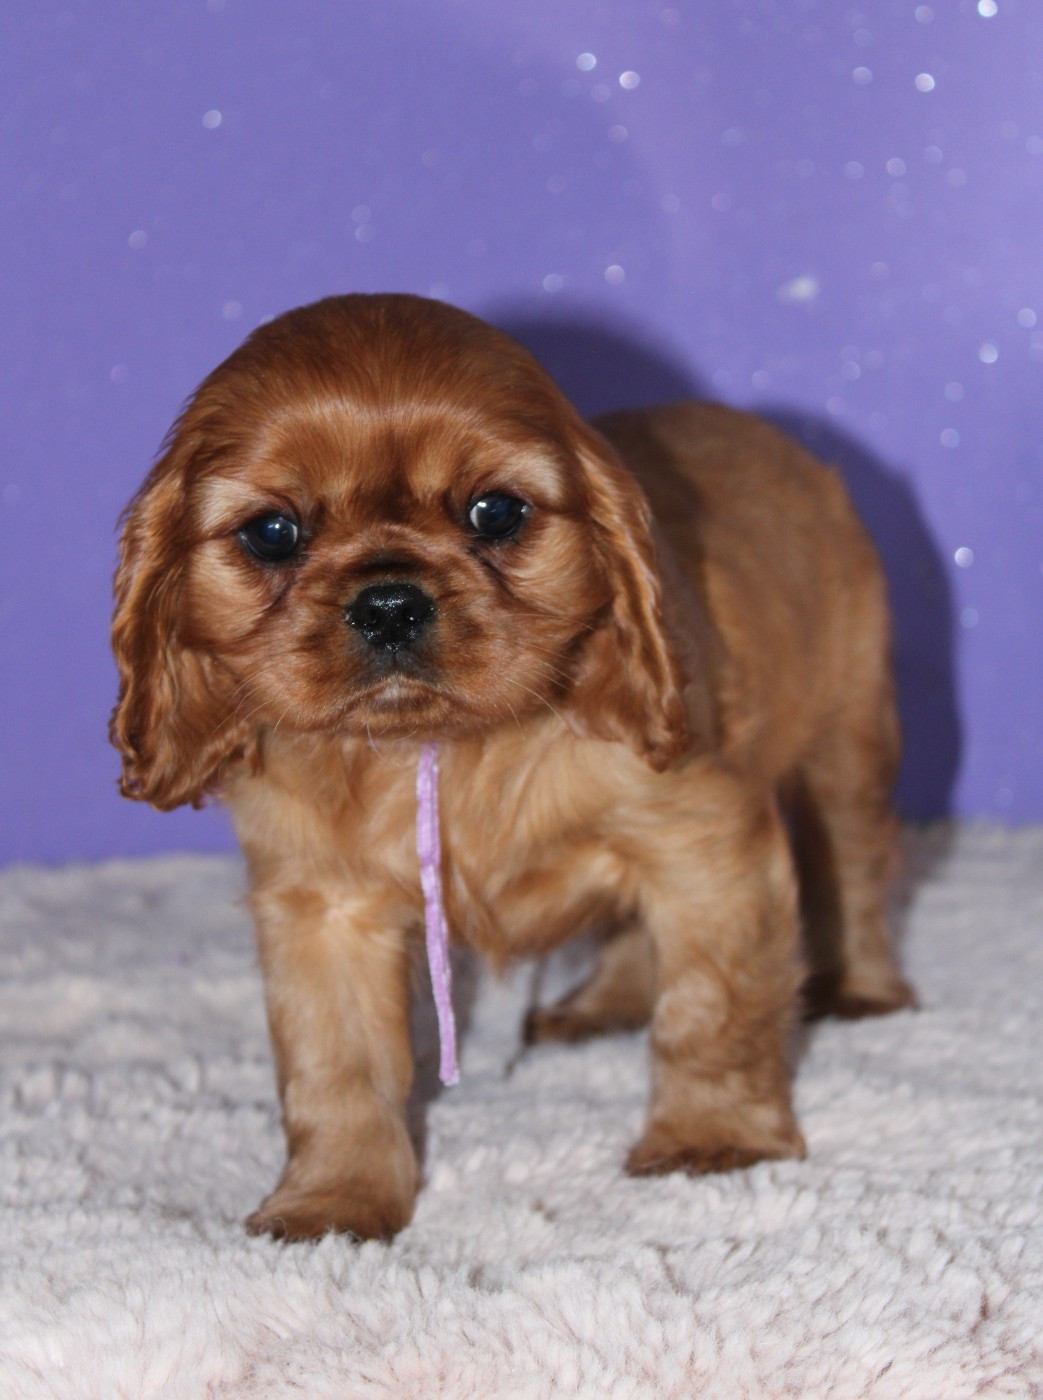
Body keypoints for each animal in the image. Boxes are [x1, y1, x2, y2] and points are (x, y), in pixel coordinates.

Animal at [110, 293, 914, 1240]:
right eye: (272, 533)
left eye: (495, 513)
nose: (389, 603)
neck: (443, 750)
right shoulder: (321, 908)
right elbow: (334, 1067)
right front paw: (332, 1202)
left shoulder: (708, 843)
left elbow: (711, 1009)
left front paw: (712, 1138)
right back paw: (601, 1006)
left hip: (848, 738)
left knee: (854, 865)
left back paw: (863, 988)